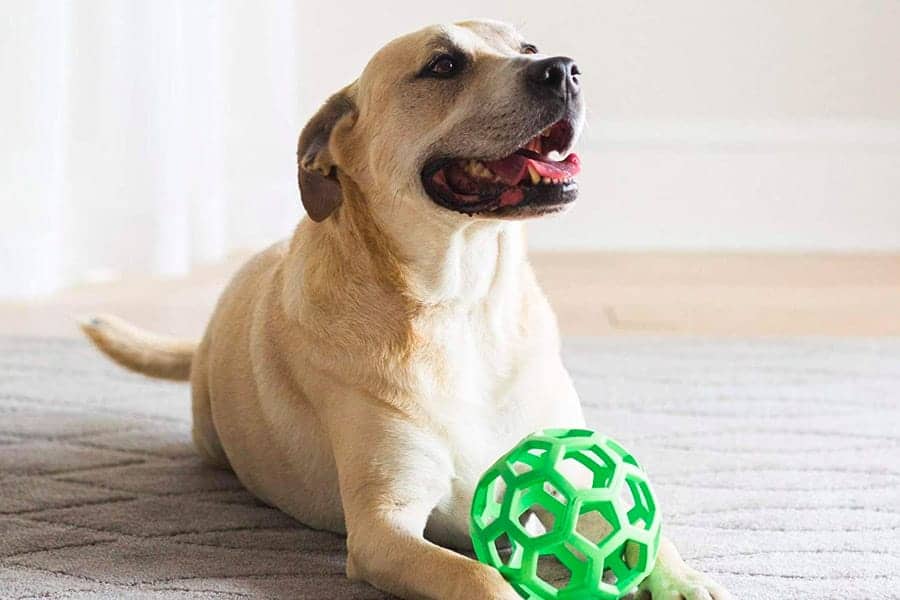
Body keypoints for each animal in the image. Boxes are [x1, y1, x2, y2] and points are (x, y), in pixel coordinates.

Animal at [81, 18, 732, 600]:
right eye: (443, 65)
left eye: (528, 47)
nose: (564, 70)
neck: (461, 302)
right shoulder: (382, 527)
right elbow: (480, 578)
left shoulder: (575, 471)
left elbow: (644, 531)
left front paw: (685, 581)